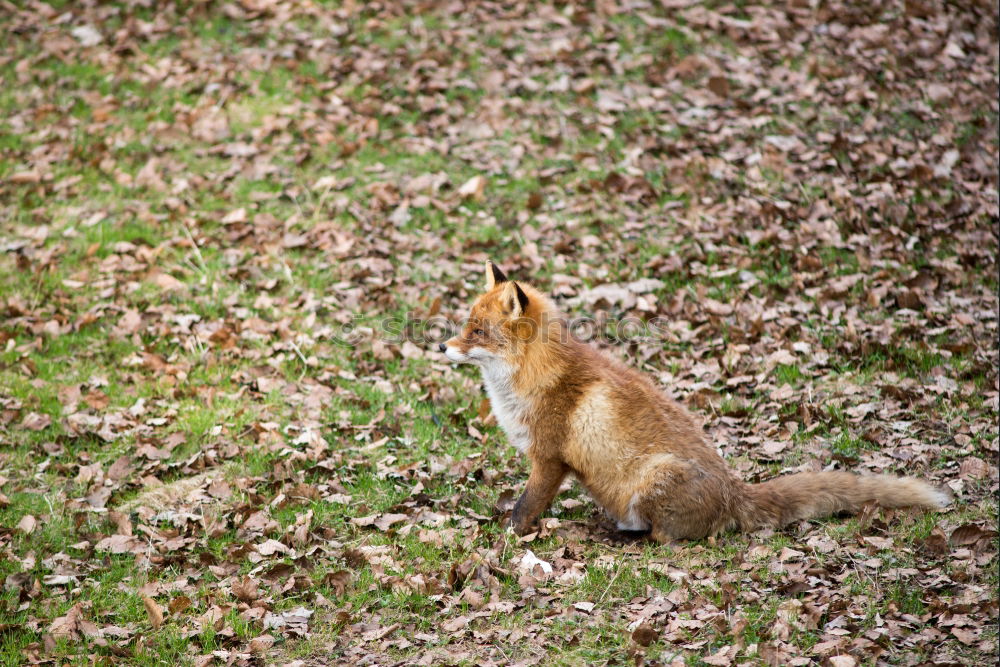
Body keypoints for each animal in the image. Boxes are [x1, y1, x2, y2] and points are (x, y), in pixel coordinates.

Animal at [440, 260, 952, 544]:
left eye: (477, 331)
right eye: (465, 325)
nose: (442, 347)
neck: (533, 376)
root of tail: (735, 493)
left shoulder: (549, 459)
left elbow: (524, 509)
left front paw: (506, 541)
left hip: (653, 481)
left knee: (665, 538)